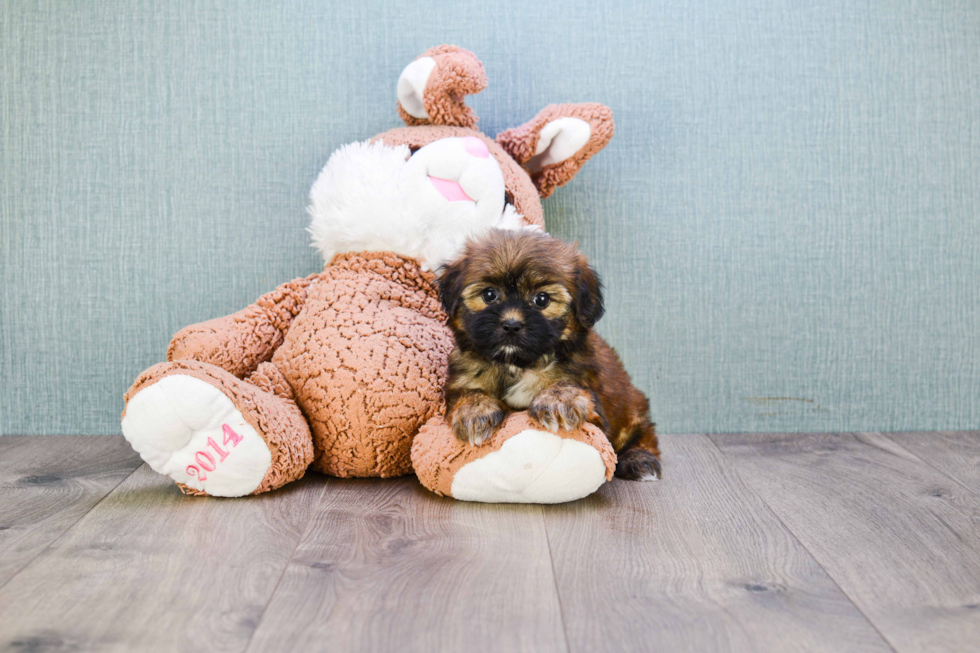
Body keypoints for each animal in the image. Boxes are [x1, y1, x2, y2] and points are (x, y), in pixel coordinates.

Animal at [440, 229, 664, 478]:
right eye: (489, 294)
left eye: (542, 299)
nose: (511, 325)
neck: (518, 363)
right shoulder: (464, 378)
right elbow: (468, 393)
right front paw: (475, 411)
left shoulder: (595, 407)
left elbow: (567, 386)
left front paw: (558, 399)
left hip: (632, 409)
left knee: (644, 434)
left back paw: (640, 459)